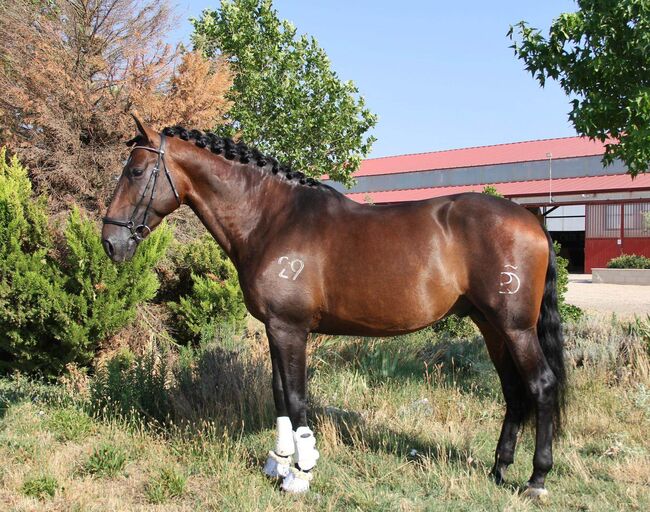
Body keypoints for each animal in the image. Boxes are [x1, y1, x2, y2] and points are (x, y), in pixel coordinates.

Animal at [101, 118, 560, 498]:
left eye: (135, 172)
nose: (110, 242)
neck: (272, 218)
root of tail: (532, 220)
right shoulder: (274, 328)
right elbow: (279, 395)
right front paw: (278, 464)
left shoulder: (291, 329)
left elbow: (297, 397)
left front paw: (301, 474)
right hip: (491, 327)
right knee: (513, 391)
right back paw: (499, 470)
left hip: (516, 329)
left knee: (541, 385)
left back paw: (537, 479)